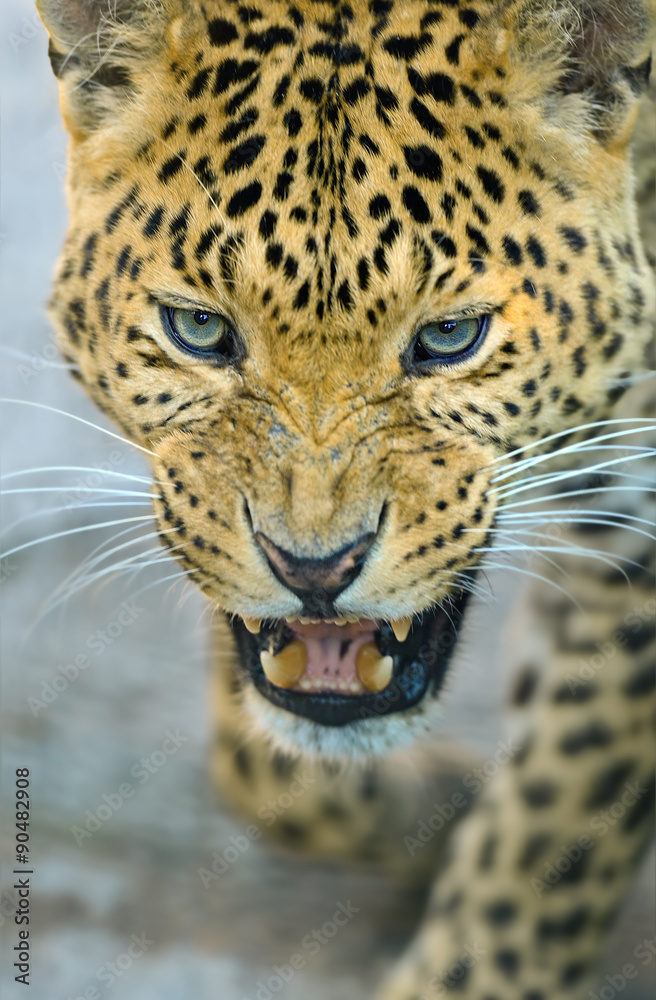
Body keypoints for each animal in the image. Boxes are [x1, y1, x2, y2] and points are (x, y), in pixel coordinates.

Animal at [36, 0, 655, 997]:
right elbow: (254, 747)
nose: (315, 570)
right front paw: (438, 805)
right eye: (198, 328)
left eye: (451, 338)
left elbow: (555, 822)